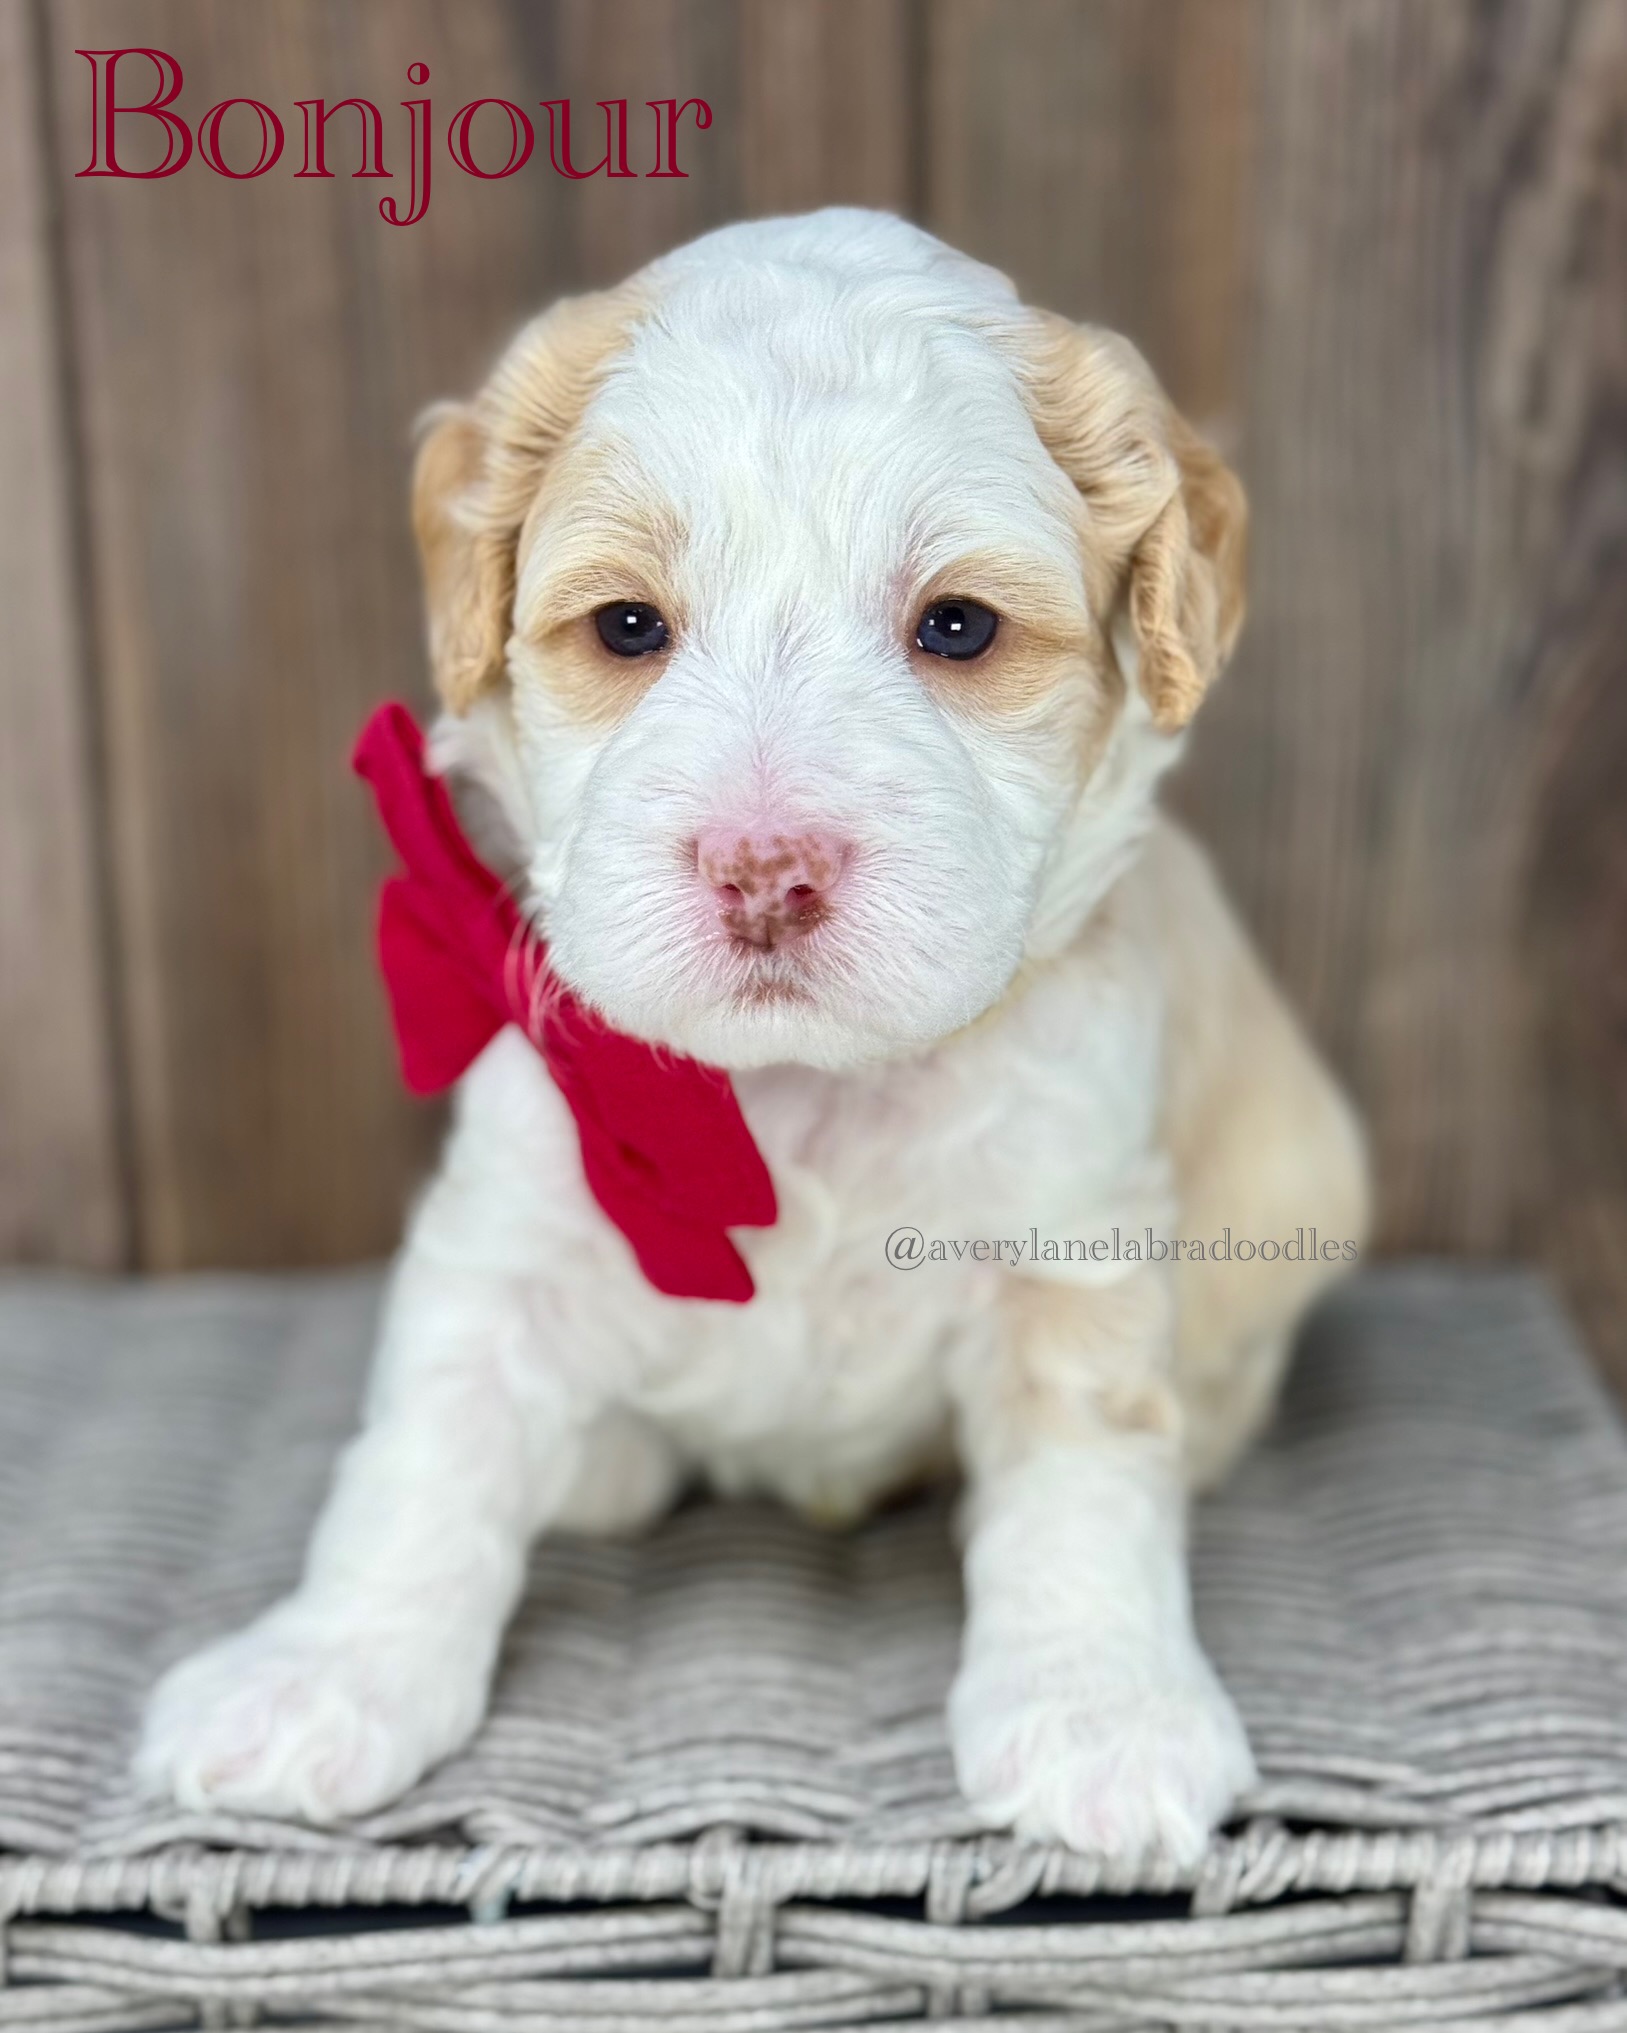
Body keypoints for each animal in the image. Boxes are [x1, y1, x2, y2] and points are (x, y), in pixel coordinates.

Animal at [137, 210, 1368, 1864]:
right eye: (627, 627)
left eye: (957, 627)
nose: (763, 870)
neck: (799, 1094)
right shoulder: (511, 1225)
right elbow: (419, 1454)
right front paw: (324, 1674)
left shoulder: (1070, 1249)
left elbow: (1085, 1486)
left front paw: (1098, 1712)